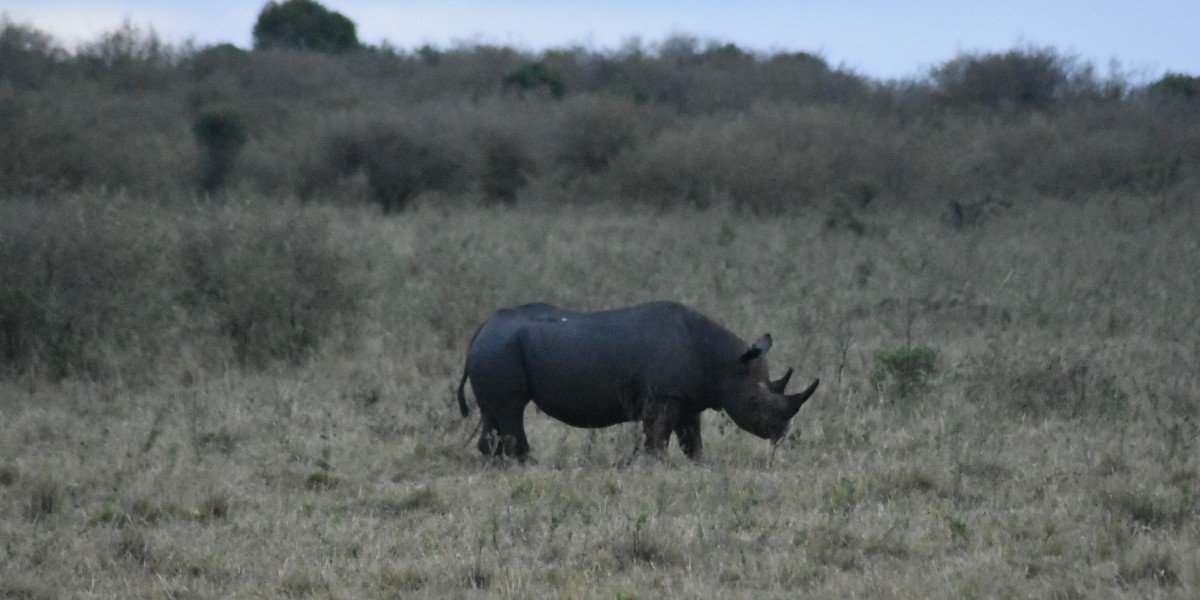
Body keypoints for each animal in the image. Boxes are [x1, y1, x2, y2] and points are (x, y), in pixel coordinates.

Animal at [455, 301, 818, 460]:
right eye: (754, 402)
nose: (780, 433)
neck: (724, 362)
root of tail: (481, 330)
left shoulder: (685, 396)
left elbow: (691, 437)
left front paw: (696, 463)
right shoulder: (663, 395)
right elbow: (657, 435)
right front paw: (653, 464)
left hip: (496, 347)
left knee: (494, 412)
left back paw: (496, 463)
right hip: (501, 348)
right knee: (511, 410)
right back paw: (527, 463)